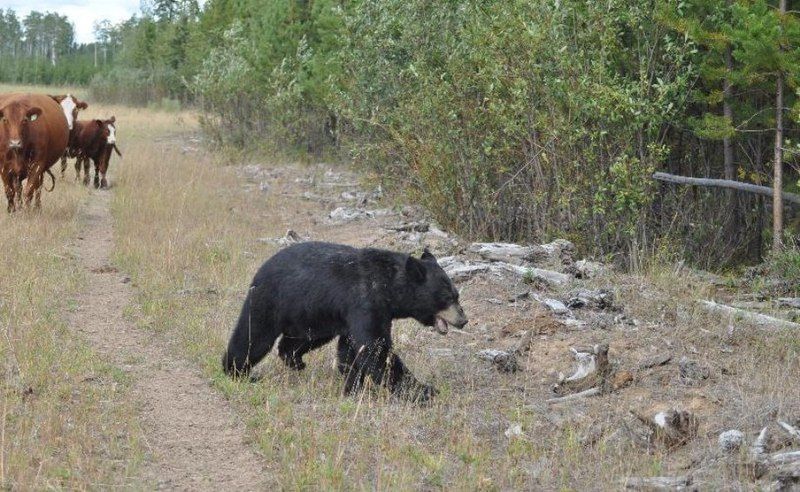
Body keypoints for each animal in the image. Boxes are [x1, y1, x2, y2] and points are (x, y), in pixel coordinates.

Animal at [222, 240, 466, 402]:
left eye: (457, 295)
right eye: (447, 297)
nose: (463, 320)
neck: (388, 286)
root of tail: (261, 270)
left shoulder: (369, 313)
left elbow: (351, 349)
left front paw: (352, 386)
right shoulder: (365, 301)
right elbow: (375, 348)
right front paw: (424, 390)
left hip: (311, 314)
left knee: (299, 340)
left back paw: (295, 360)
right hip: (272, 300)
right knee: (254, 336)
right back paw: (236, 371)